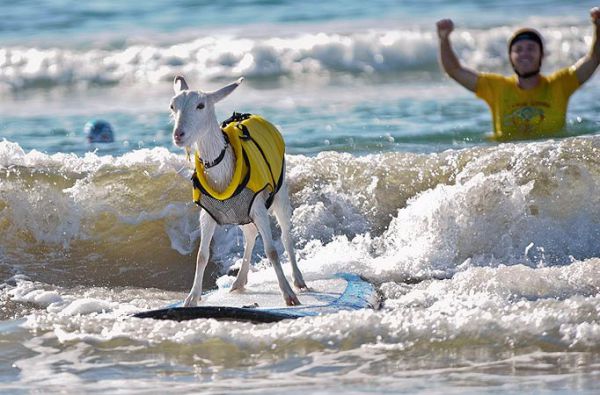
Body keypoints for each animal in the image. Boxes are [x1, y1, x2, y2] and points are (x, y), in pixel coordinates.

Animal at [170, 76, 308, 308]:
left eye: (201, 105)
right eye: (173, 107)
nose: (178, 135)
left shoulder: (258, 206)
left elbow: (271, 251)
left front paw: (289, 295)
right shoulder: (207, 213)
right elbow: (201, 255)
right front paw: (192, 298)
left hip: (279, 191)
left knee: (286, 235)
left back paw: (299, 281)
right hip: (241, 212)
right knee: (250, 235)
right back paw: (239, 281)